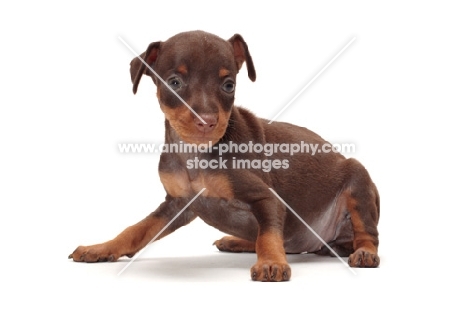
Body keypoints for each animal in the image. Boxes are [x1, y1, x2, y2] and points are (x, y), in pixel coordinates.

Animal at [69, 31, 378, 282]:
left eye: (229, 85)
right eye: (174, 82)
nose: (206, 121)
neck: (194, 155)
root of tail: (325, 244)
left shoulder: (267, 199)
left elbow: (268, 236)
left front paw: (270, 263)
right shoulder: (176, 204)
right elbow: (136, 230)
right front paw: (101, 248)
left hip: (358, 180)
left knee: (367, 233)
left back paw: (364, 252)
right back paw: (237, 241)